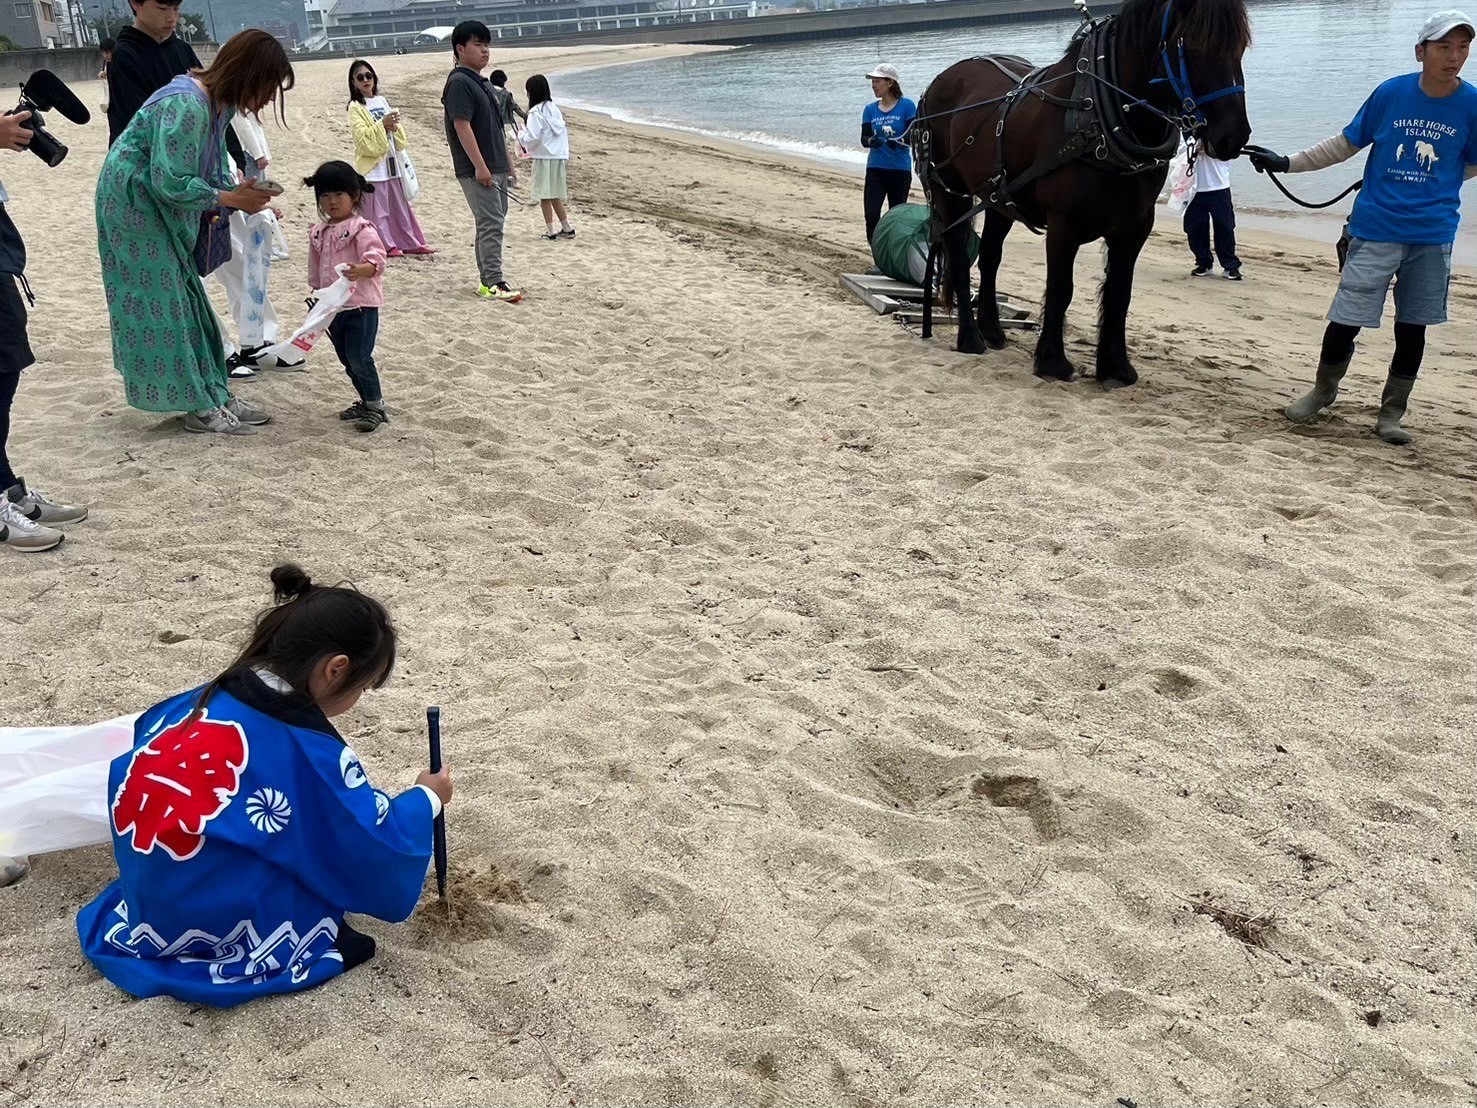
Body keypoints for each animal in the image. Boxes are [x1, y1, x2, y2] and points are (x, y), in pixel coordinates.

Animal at [915, 0, 1252, 387]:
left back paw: (992, 329)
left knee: (989, 257)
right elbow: (1061, 289)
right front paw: (1051, 361)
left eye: (1240, 47)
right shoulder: (1064, 225)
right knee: (958, 256)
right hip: (950, 193)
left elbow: (1120, 292)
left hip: (999, 199)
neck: (1098, 118)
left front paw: (1115, 366)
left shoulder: (1136, 226)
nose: (1234, 136)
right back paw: (970, 338)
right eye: (1195, 46)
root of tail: (940, 81)